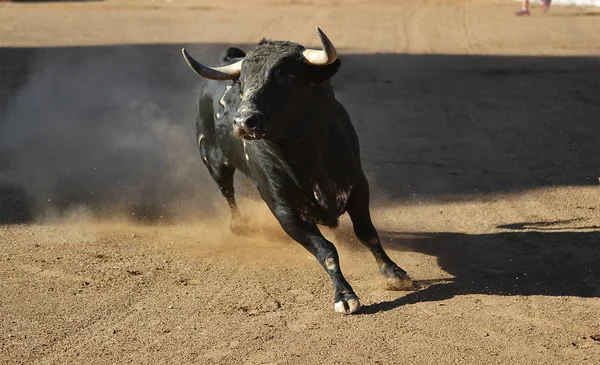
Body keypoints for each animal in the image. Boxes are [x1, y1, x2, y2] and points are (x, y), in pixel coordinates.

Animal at [180, 28, 412, 312]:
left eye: (288, 77)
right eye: (242, 84)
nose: (243, 122)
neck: (306, 155)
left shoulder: (358, 186)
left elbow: (367, 233)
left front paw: (394, 273)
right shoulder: (285, 211)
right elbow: (326, 250)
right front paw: (345, 296)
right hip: (214, 162)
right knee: (227, 191)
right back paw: (239, 225)